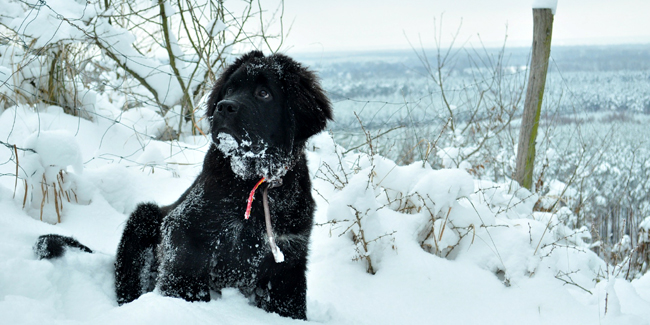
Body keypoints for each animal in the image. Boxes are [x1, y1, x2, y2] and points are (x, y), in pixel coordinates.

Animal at [33, 51, 332, 318]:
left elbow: (289, 304)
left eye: (264, 93)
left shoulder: (289, 255)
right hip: (143, 219)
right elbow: (184, 280)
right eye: (230, 88)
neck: (252, 182)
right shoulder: (185, 230)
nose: (224, 106)